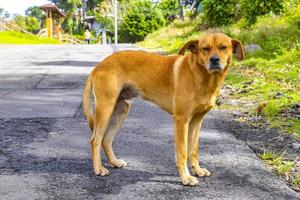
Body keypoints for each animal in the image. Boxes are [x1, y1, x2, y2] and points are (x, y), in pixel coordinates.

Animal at [82, 32, 244, 186]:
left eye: (223, 47)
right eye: (205, 48)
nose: (214, 60)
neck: (202, 76)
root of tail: (100, 65)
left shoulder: (196, 121)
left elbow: (193, 150)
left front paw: (197, 170)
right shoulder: (181, 120)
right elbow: (182, 152)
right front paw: (186, 178)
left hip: (121, 110)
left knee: (106, 139)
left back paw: (114, 162)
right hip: (105, 109)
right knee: (95, 140)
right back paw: (99, 168)